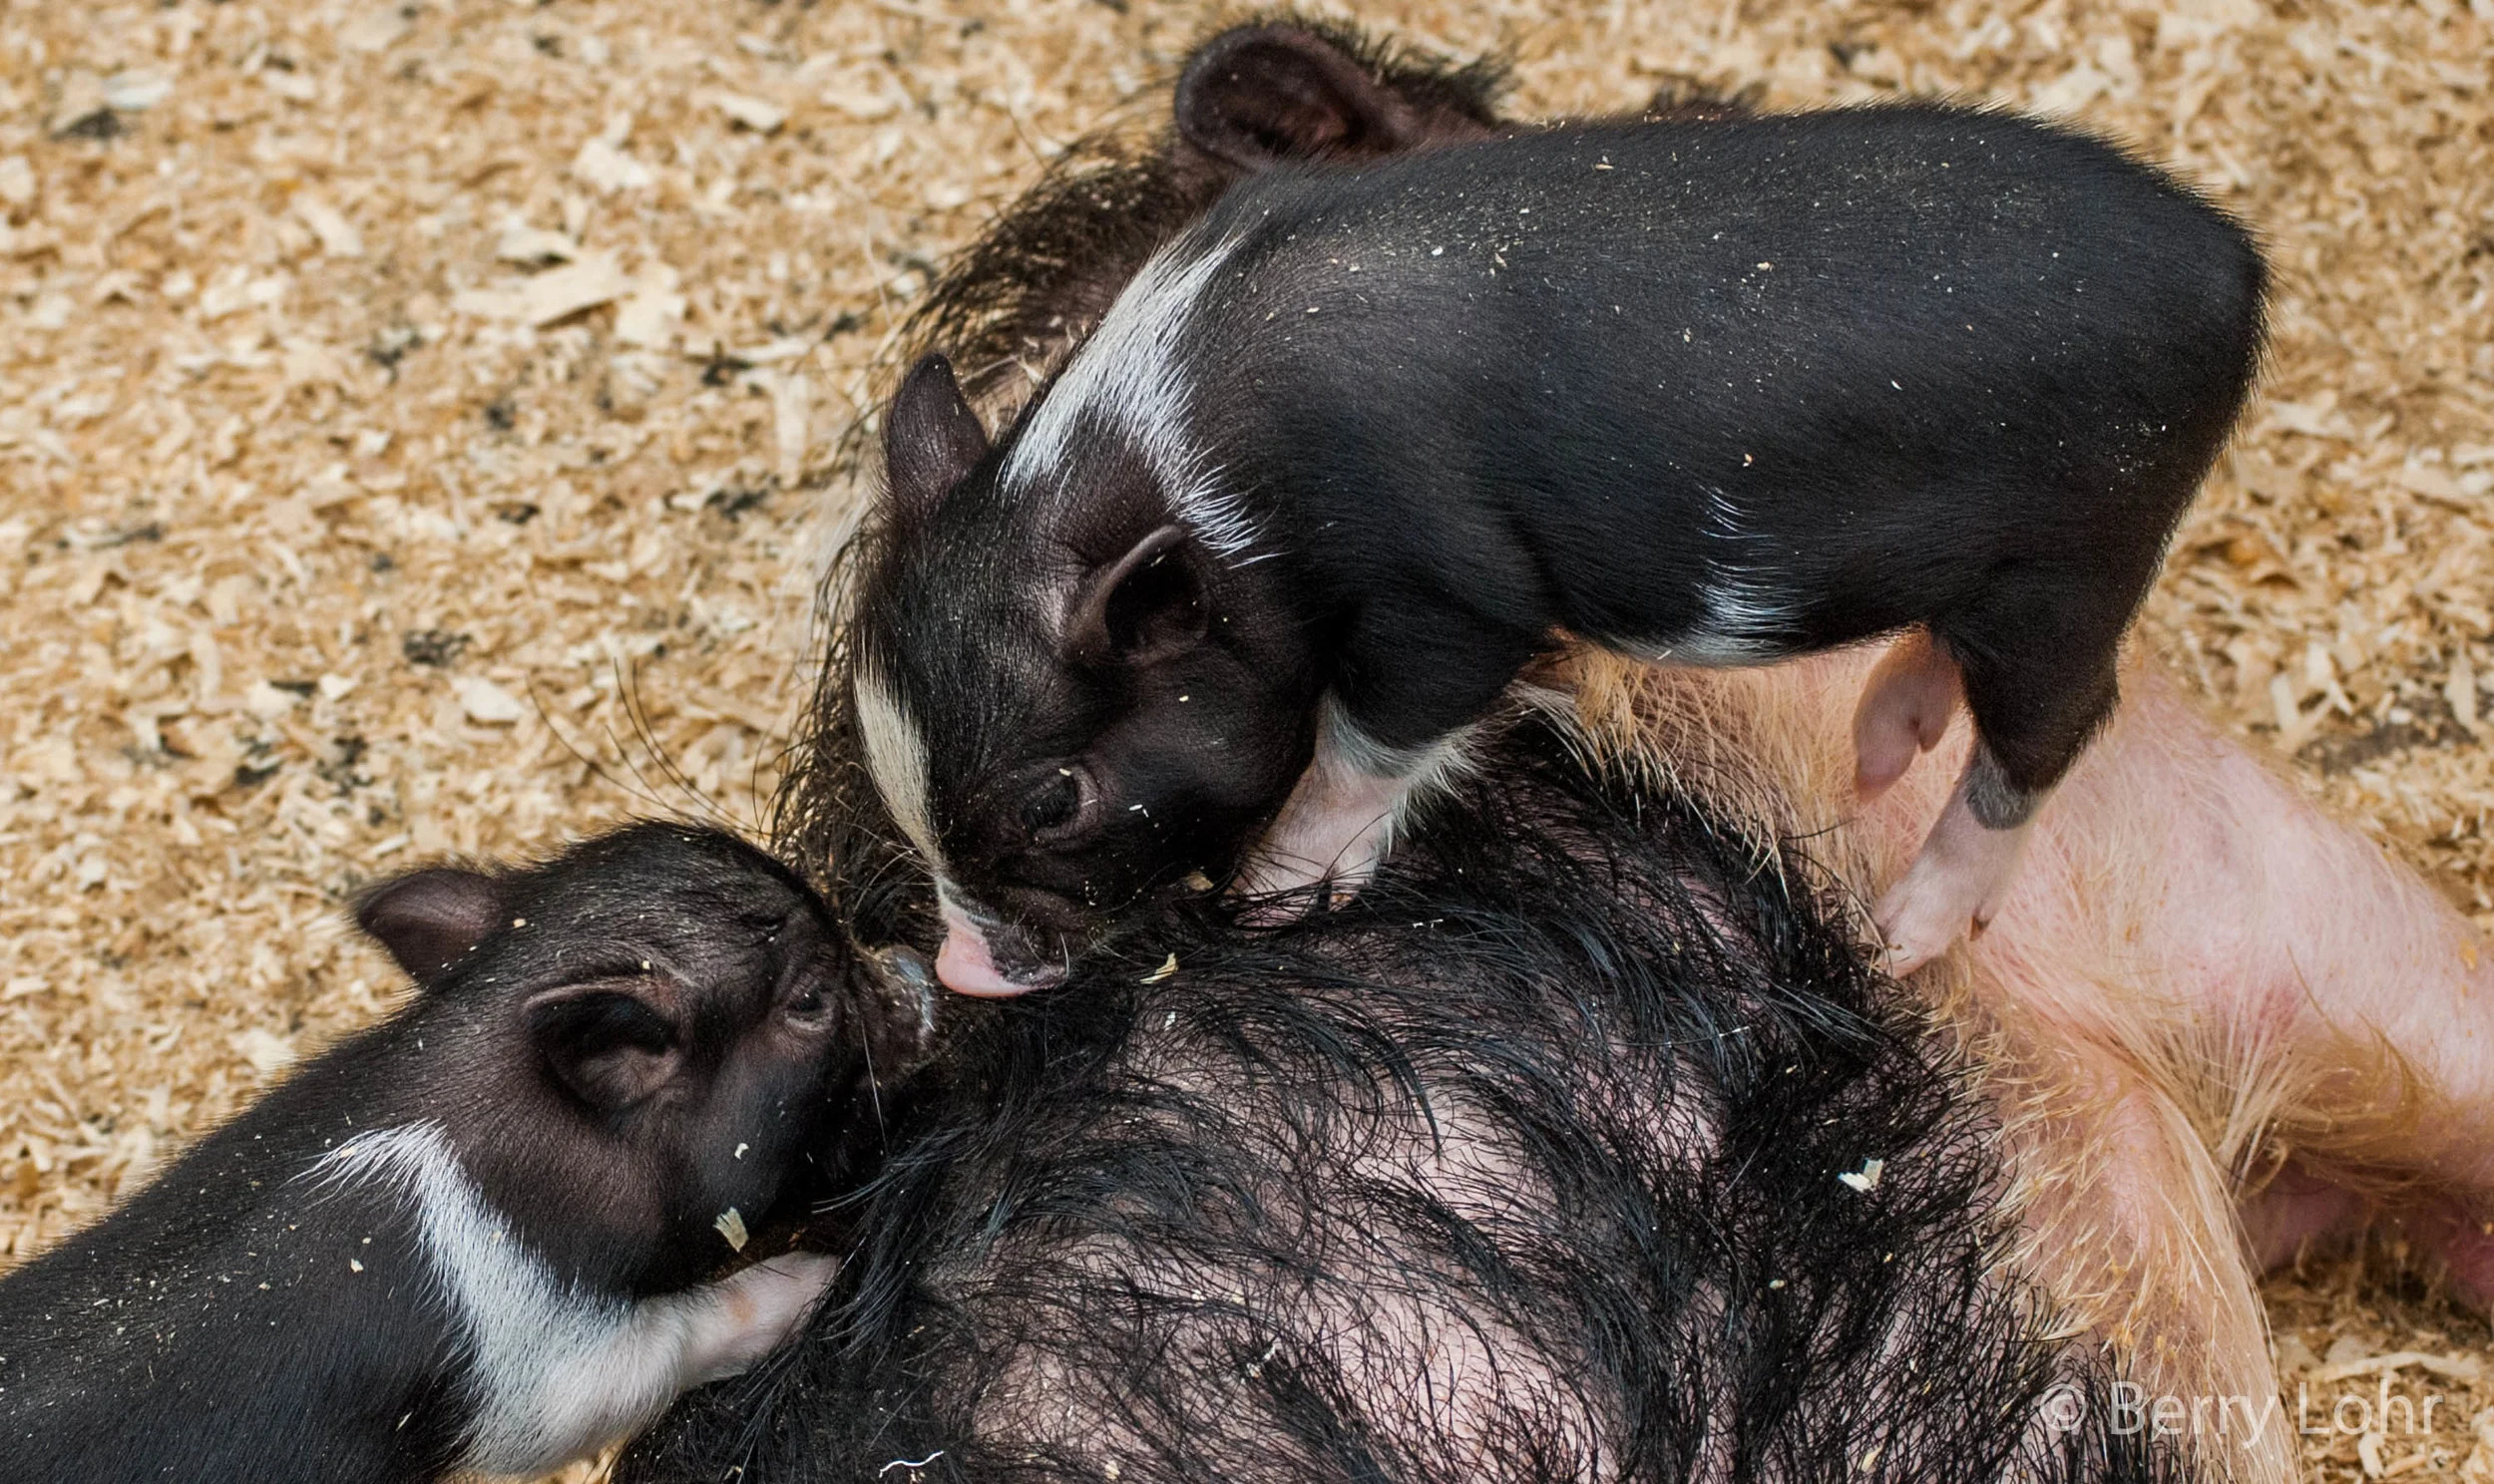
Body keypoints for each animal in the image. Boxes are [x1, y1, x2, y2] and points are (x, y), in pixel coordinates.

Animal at [855, 95, 2267, 994]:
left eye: (1054, 798)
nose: (960, 971)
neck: (1201, 477)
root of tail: (2236, 266)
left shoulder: (1444, 593)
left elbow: (1363, 743)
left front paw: (1269, 895)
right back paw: (1878, 751)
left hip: (2080, 558)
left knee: (2060, 722)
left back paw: (1899, 937)